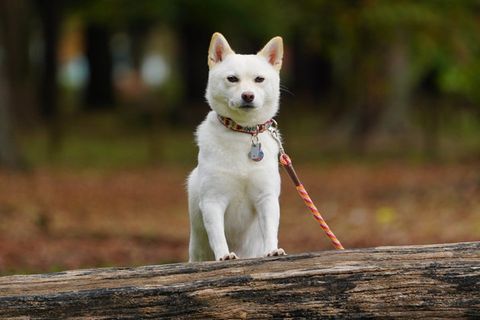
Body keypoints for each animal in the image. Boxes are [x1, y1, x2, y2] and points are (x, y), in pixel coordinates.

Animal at [188, 33, 284, 262]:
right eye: (232, 79)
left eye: (259, 79)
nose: (248, 95)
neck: (243, 133)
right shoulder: (212, 201)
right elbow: (217, 235)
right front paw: (224, 255)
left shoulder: (266, 198)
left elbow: (270, 229)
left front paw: (272, 250)